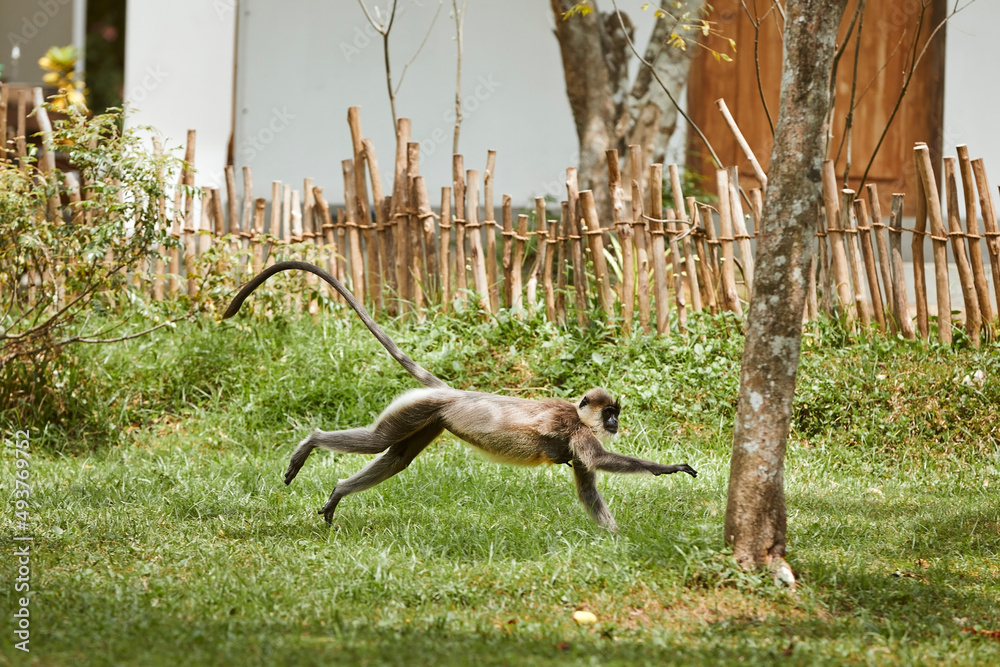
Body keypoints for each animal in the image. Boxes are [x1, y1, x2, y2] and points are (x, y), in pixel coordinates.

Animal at [223, 261, 697, 530]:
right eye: (609, 413)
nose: (615, 423)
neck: (578, 417)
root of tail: (454, 392)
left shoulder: (575, 445)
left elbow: (588, 489)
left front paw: (614, 540)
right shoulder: (575, 431)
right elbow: (600, 460)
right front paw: (668, 469)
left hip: (430, 418)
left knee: (397, 457)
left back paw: (339, 491)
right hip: (421, 408)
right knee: (379, 442)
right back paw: (311, 443)